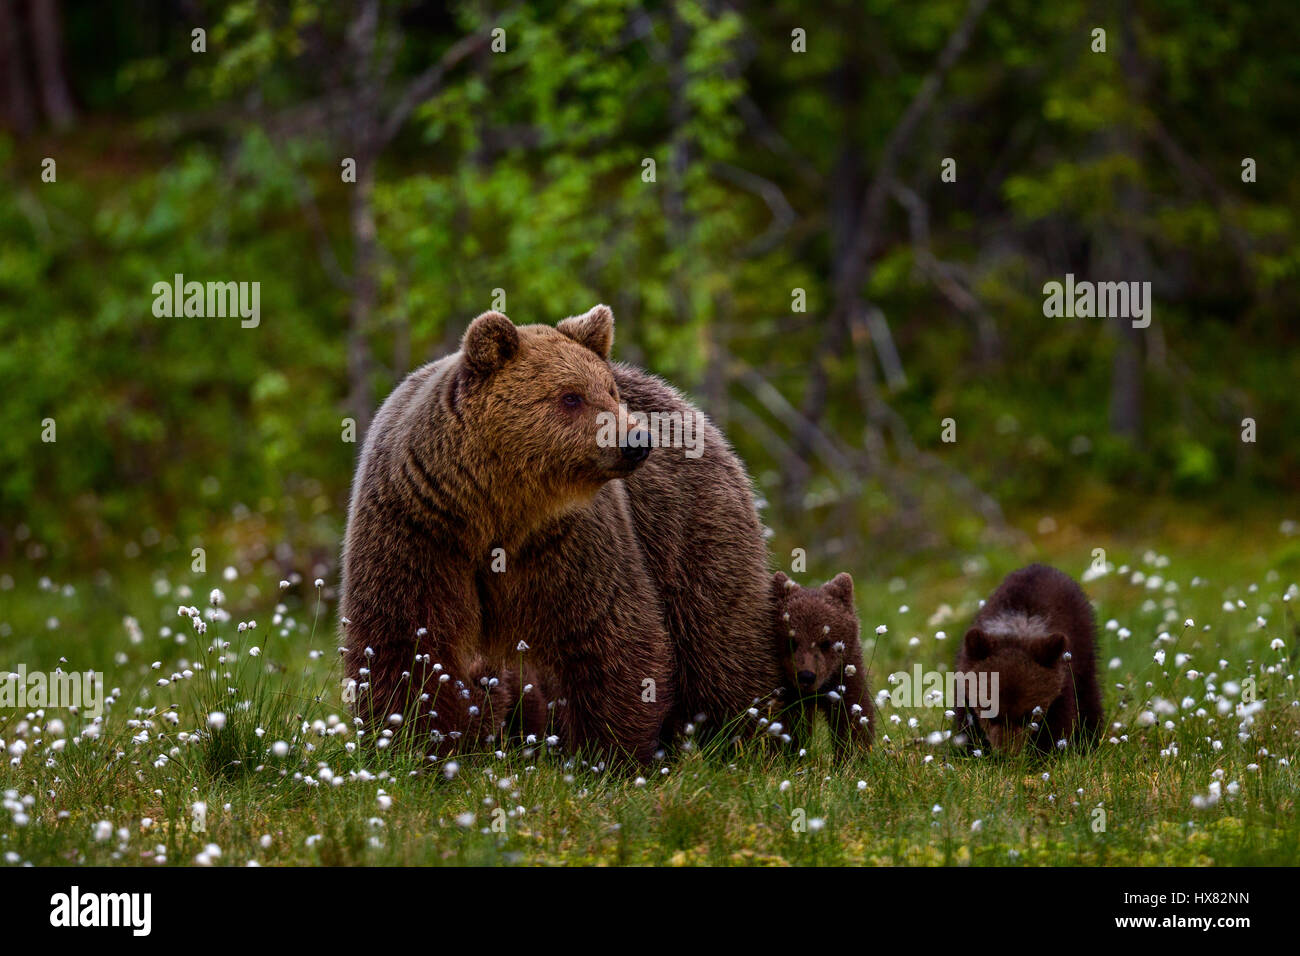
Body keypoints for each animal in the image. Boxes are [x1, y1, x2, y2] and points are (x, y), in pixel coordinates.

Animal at [339, 304, 783, 764]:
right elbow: (407, 638)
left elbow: (607, 633)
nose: (637, 439)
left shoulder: (570, 540)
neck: (495, 509)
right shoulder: (419, 528)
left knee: (719, 636)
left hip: (689, 526)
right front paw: (408, 744)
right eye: (571, 396)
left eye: (610, 391)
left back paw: (746, 739)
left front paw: (607, 755)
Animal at [769, 571, 874, 757]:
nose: (806, 676)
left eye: (825, 642)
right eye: (791, 641)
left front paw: (854, 755)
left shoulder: (843, 673)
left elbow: (853, 716)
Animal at [953, 563, 1103, 755]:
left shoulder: (1061, 685)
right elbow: (965, 722)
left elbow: (1058, 724)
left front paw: (1047, 753)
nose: (1005, 753)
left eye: (1027, 716)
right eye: (990, 714)